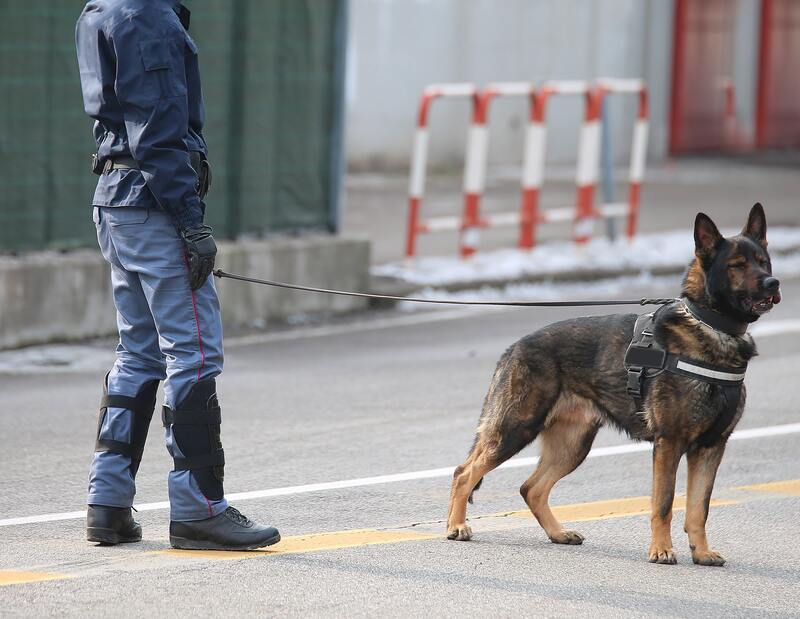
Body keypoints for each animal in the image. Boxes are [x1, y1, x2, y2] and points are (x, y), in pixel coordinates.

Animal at [450, 205, 780, 568]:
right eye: (737, 265)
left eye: (763, 261)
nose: (772, 282)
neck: (710, 326)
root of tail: (514, 347)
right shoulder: (669, 443)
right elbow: (664, 503)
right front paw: (661, 550)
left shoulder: (711, 447)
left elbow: (698, 508)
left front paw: (702, 552)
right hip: (516, 429)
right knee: (464, 473)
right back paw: (456, 526)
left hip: (572, 446)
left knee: (531, 488)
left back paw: (558, 533)